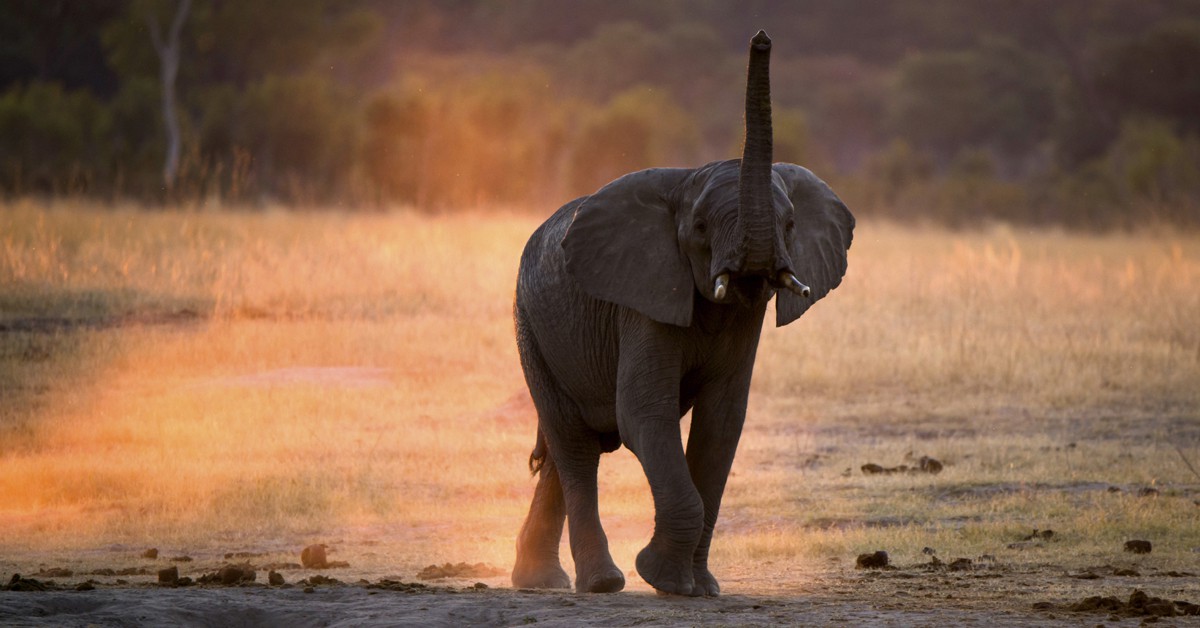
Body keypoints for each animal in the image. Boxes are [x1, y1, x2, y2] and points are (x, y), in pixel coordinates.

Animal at [510, 30, 854, 596]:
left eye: (790, 224)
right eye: (699, 227)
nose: (762, 38)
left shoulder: (744, 321)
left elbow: (722, 421)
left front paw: (703, 588)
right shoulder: (642, 302)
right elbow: (644, 412)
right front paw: (666, 581)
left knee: (565, 455)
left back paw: (541, 582)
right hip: (530, 329)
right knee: (575, 447)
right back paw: (601, 584)